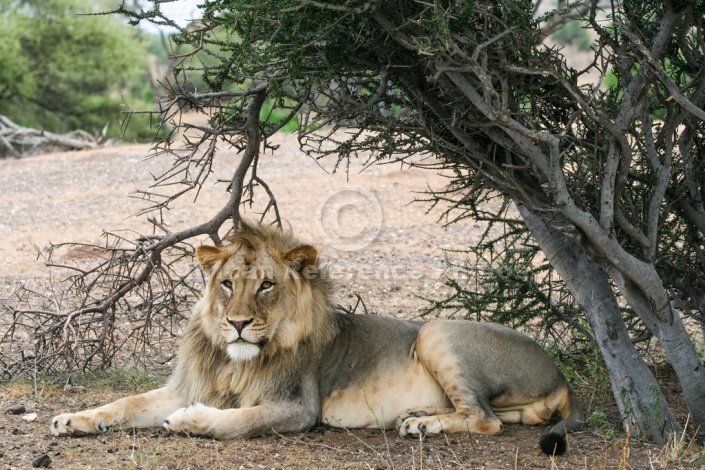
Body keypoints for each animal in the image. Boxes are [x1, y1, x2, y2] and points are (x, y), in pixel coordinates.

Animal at [52, 223, 584, 456]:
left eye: (266, 285)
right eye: (228, 283)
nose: (238, 323)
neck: (235, 360)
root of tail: (560, 375)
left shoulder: (298, 407)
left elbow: (238, 421)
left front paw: (190, 421)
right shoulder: (191, 384)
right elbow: (125, 402)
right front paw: (73, 419)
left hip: (436, 330)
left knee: (486, 420)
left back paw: (423, 425)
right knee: (489, 414)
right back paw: (418, 416)